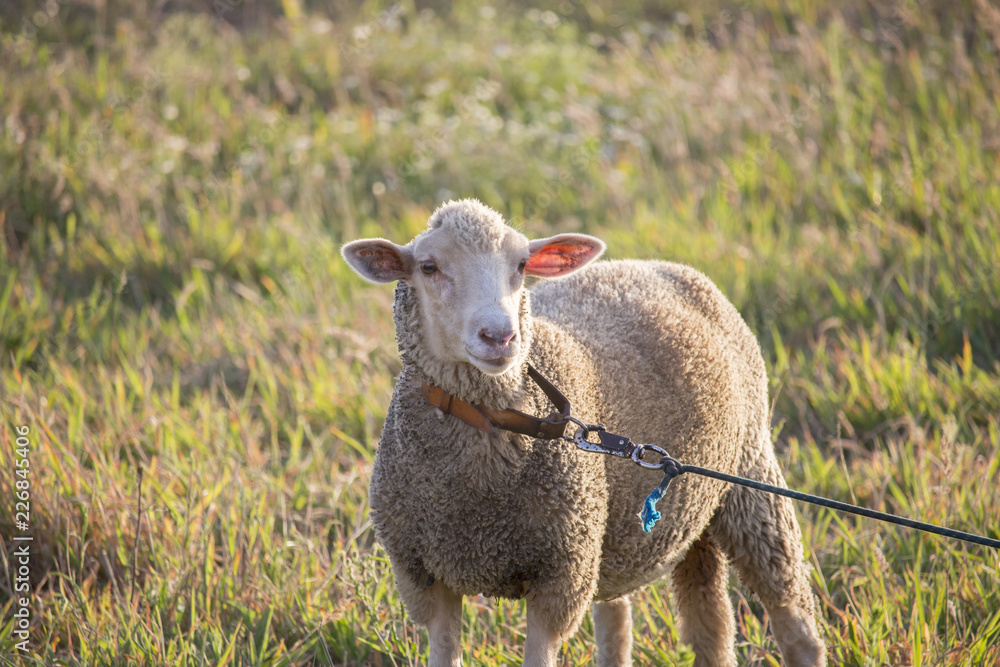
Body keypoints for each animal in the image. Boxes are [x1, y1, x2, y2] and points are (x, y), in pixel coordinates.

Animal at [341, 199, 826, 667]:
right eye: (428, 266)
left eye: (521, 264)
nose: (500, 337)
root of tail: (653, 264)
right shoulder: (424, 577)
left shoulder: (560, 577)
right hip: (630, 524)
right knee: (685, 628)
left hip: (751, 475)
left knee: (791, 614)